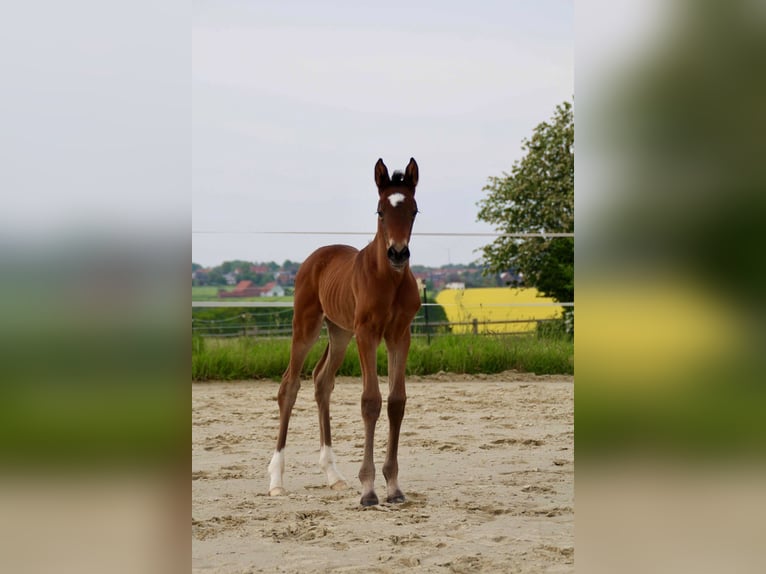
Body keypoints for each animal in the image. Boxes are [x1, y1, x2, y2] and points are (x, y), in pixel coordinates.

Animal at [268, 157, 421, 506]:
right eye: (380, 211)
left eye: (414, 210)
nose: (398, 253)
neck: (389, 280)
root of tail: (316, 256)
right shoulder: (367, 333)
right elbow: (371, 401)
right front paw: (368, 489)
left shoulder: (399, 335)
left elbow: (396, 402)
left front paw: (393, 487)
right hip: (307, 325)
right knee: (289, 386)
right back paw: (276, 480)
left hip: (339, 333)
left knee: (322, 382)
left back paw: (333, 475)